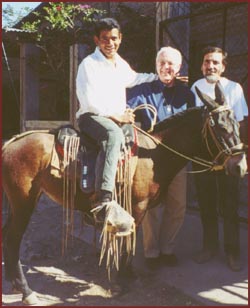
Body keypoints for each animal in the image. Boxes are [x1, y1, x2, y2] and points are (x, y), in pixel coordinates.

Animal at [1, 85, 248, 304]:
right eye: (220, 128)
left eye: (237, 124)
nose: (240, 166)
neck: (155, 154)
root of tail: (10, 144)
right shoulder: (137, 207)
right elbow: (128, 242)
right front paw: (123, 280)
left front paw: (127, 274)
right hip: (24, 203)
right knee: (13, 240)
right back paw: (26, 291)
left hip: (18, 203)